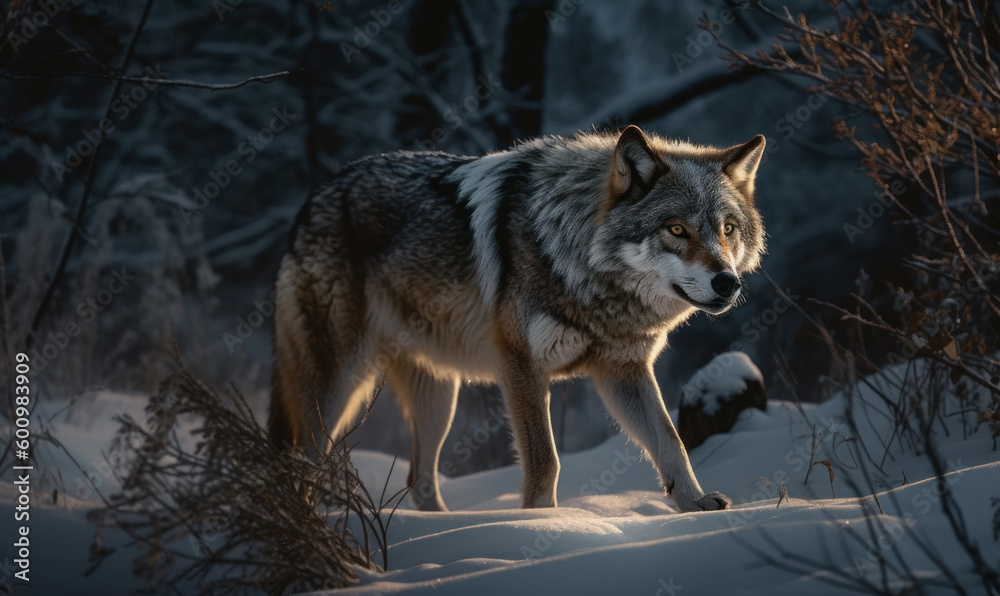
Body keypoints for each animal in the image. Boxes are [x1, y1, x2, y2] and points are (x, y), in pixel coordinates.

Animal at [269, 125, 766, 512]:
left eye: (727, 229)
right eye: (676, 229)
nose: (727, 282)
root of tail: (313, 200)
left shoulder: (622, 369)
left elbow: (670, 440)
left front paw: (695, 504)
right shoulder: (521, 367)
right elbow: (546, 460)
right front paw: (543, 525)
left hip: (439, 396)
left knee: (419, 480)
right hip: (337, 385)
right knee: (302, 460)